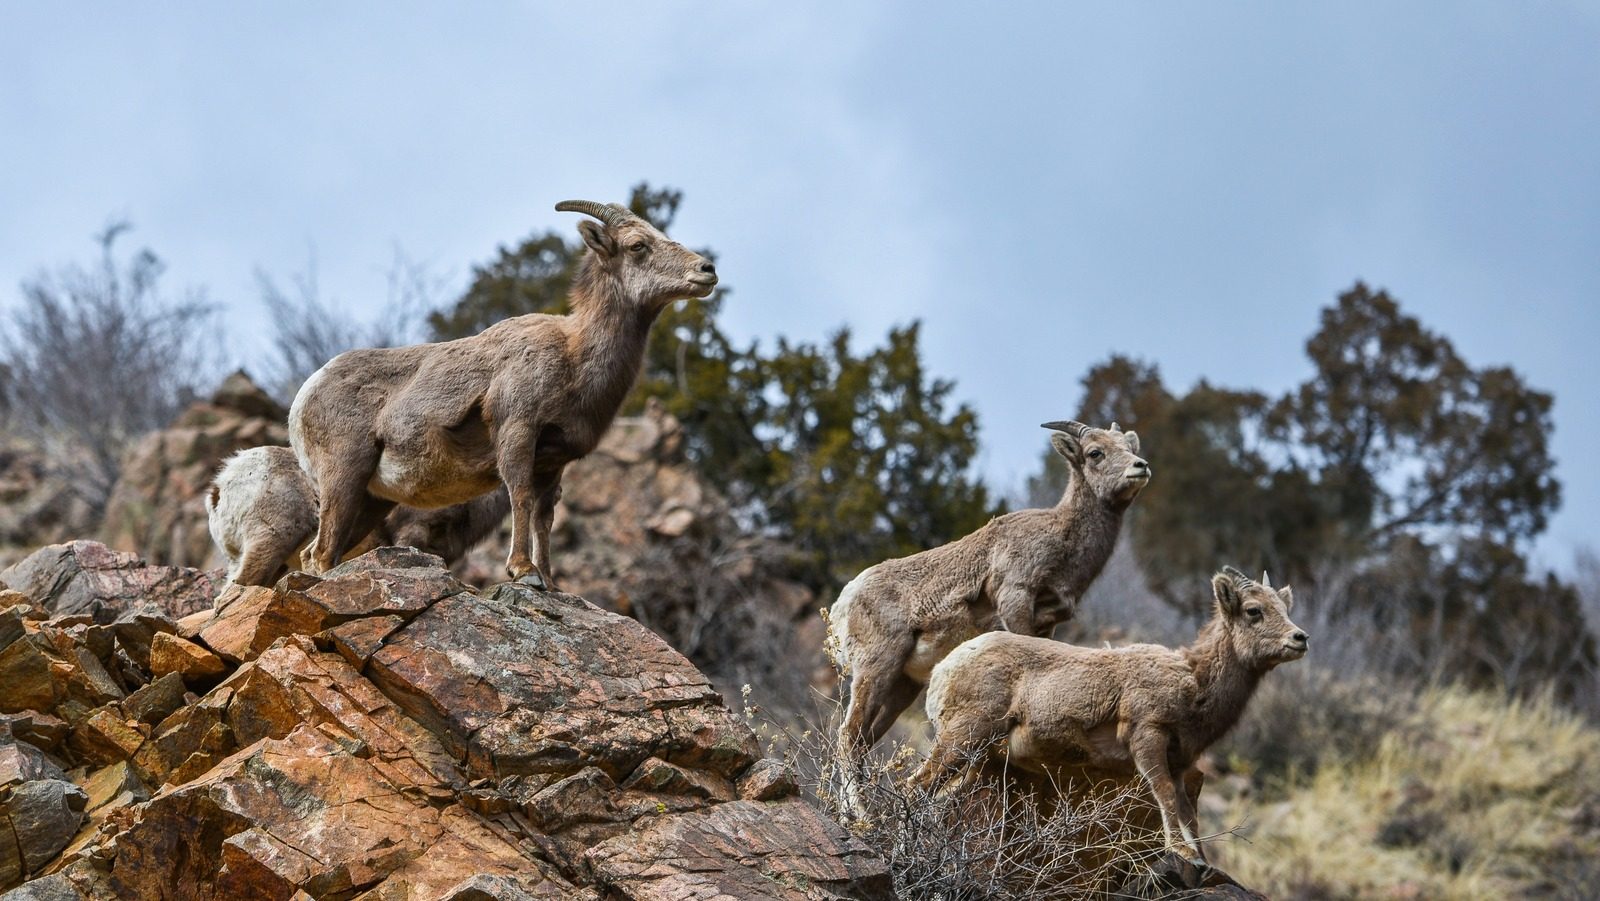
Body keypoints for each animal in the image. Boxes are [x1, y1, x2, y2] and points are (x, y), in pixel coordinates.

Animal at [288, 200, 717, 585]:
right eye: (637, 245)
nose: (707, 270)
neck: (574, 356)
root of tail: (306, 394)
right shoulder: (518, 433)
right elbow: (520, 496)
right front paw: (522, 571)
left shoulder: (553, 463)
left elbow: (544, 517)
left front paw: (550, 582)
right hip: (344, 478)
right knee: (320, 555)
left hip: (372, 501)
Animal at [828, 420, 1150, 777]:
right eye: (1095, 453)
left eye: (1129, 447)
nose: (1141, 467)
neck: (1061, 542)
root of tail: (843, 604)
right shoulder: (1014, 602)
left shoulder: (1047, 625)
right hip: (876, 668)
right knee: (848, 736)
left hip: (903, 685)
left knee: (863, 741)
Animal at [911, 566, 1308, 867]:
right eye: (1253, 611)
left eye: (1284, 607)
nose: (1300, 639)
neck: (1193, 680)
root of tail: (943, 670)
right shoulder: (1148, 737)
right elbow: (1163, 795)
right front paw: (1180, 852)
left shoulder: (1180, 764)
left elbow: (1187, 812)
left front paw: (1199, 858)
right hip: (961, 739)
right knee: (916, 786)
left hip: (983, 761)